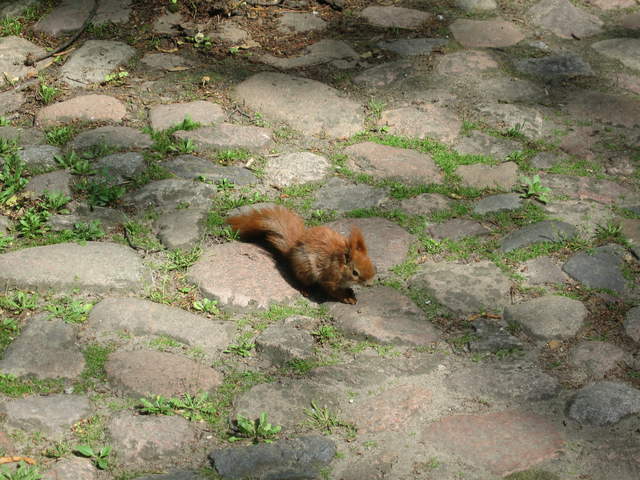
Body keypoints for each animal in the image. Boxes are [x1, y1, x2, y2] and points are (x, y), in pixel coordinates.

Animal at [226, 206, 376, 304]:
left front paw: (351, 293)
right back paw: (305, 289)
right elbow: (333, 290)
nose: (370, 284)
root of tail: (292, 248)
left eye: (372, 265)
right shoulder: (330, 277)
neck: (339, 264)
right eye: (355, 272)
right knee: (300, 280)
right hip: (306, 270)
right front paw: (346, 297)